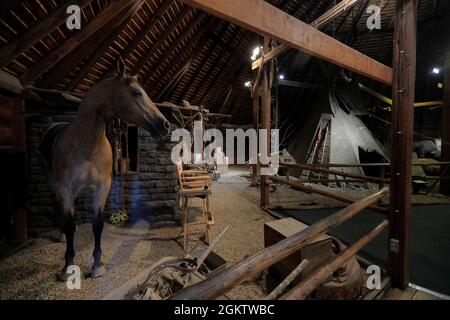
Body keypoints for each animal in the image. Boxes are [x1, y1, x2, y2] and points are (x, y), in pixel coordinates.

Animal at [41, 60, 171, 280]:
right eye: (136, 92)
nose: (165, 124)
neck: (86, 145)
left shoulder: (103, 188)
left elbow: (97, 225)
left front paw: (97, 265)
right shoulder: (65, 190)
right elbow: (70, 226)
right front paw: (68, 266)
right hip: (54, 185)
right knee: (60, 212)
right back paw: (60, 235)